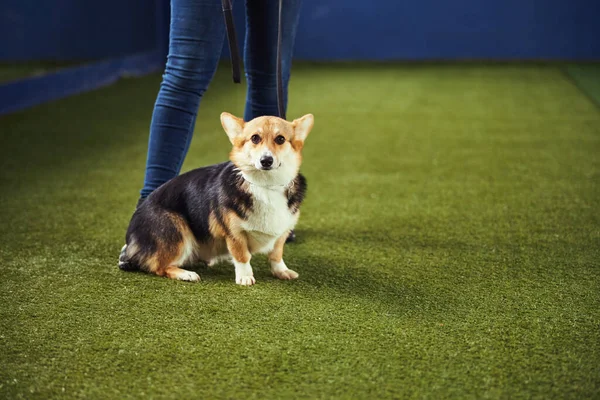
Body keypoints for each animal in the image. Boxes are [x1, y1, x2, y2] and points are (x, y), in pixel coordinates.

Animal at [117, 113, 314, 284]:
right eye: (255, 138)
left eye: (280, 139)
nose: (266, 160)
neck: (265, 185)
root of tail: (131, 237)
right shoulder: (234, 233)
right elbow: (242, 255)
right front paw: (245, 277)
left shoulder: (282, 232)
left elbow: (276, 254)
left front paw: (282, 271)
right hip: (177, 229)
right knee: (159, 267)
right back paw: (186, 274)